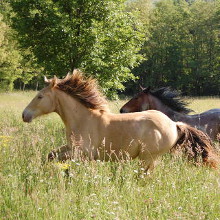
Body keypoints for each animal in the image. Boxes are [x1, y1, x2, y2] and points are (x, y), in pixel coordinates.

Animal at [22, 70, 218, 170]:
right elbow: (50, 155)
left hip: (148, 158)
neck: (83, 119)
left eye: (40, 96)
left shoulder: (81, 153)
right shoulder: (70, 148)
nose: (25, 115)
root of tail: (174, 124)